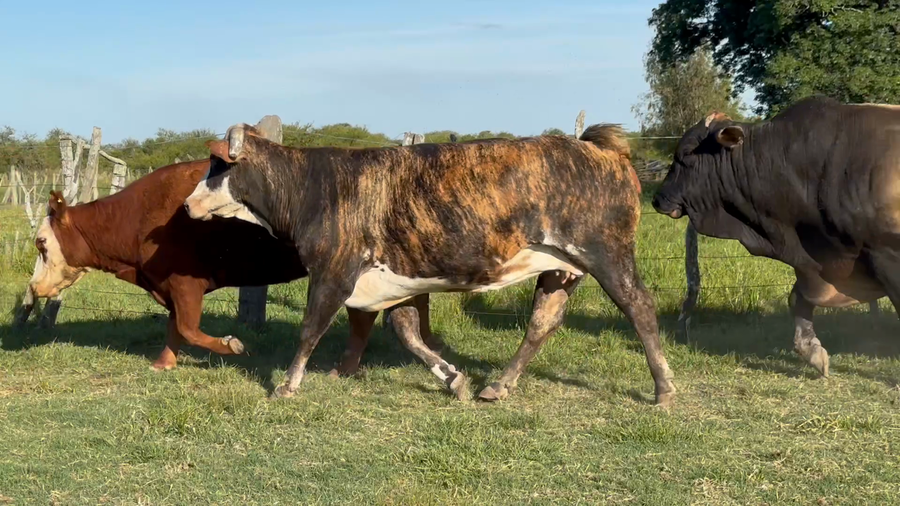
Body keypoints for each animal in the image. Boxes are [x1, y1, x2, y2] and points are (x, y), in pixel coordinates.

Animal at [25, 159, 434, 374]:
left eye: (41, 243)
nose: (33, 289)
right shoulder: (170, 285)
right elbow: (175, 327)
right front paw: (164, 362)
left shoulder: (184, 282)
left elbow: (188, 328)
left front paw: (232, 346)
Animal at [184, 123, 676, 405]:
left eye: (217, 166)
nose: (187, 203)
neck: (314, 185)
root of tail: (601, 150)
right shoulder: (396, 281)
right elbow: (407, 333)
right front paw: (453, 379)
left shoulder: (333, 270)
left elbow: (310, 329)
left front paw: (287, 385)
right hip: (560, 268)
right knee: (542, 322)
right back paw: (499, 385)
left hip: (606, 252)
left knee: (639, 307)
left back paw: (663, 388)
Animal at [652, 96, 900, 377]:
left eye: (685, 154)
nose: (658, 198)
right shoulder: (817, 264)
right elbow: (797, 299)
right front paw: (811, 351)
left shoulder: (886, 254)